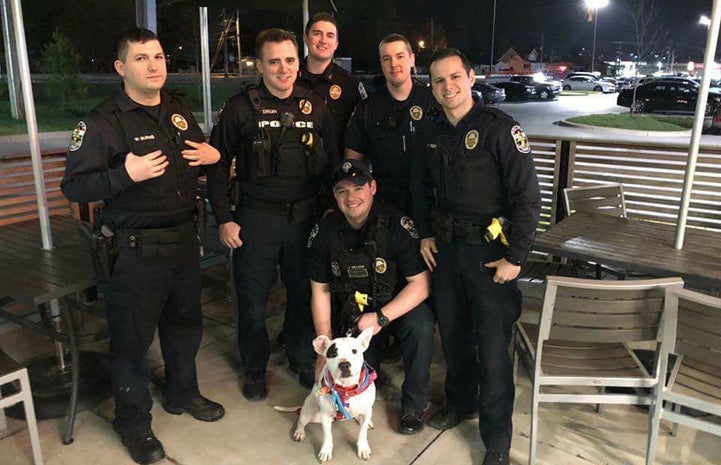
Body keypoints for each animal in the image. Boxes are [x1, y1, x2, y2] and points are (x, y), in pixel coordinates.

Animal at [276, 326, 376, 460]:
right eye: (333, 354)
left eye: (354, 351)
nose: (344, 364)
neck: (346, 389)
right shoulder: (325, 416)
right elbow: (328, 435)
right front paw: (326, 451)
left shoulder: (366, 411)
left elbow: (362, 432)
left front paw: (363, 447)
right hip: (309, 411)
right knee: (301, 421)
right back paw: (299, 432)